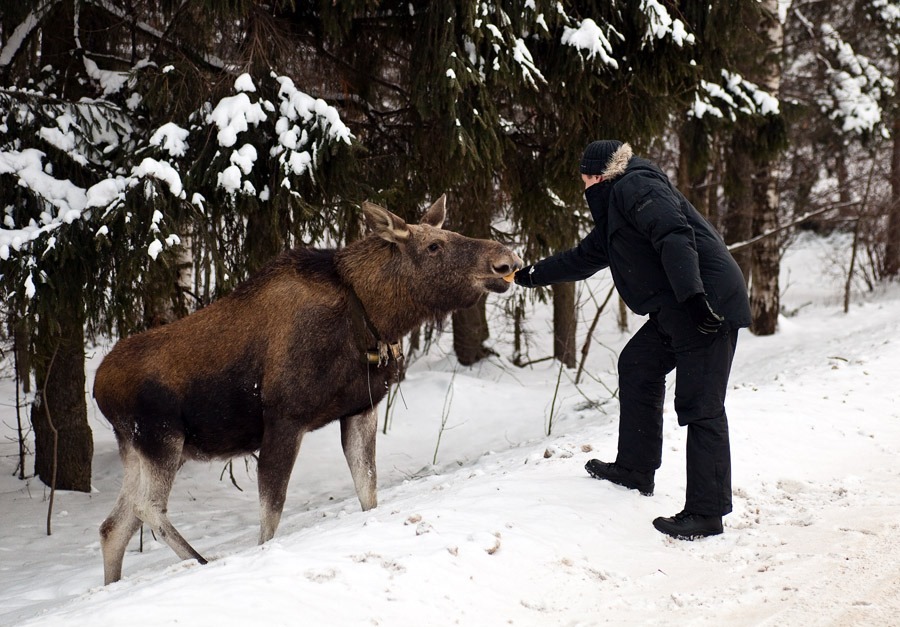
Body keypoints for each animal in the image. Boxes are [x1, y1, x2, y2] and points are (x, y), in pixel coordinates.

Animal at [93, 195, 520, 584]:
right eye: (434, 246)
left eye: (453, 233)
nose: (507, 261)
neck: (375, 320)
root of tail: (97, 387)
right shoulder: (285, 417)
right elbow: (270, 516)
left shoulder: (359, 410)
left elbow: (368, 489)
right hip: (161, 438)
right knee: (147, 508)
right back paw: (200, 560)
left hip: (147, 448)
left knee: (113, 525)